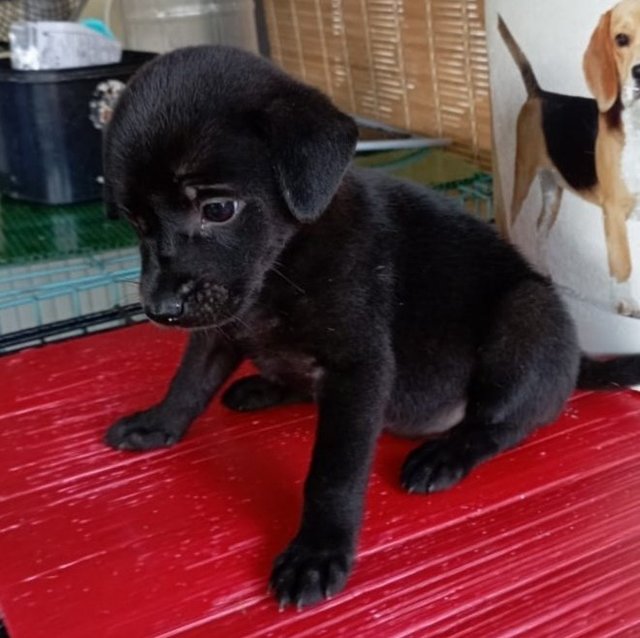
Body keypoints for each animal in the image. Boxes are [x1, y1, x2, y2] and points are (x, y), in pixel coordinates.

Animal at [102, 46, 640, 608]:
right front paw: (157, 422)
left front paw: (318, 550)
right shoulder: (220, 329)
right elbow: (188, 382)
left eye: (218, 208)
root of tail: (577, 361)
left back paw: (446, 454)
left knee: (502, 424)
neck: (284, 264)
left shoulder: (357, 368)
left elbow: (333, 472)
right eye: (136, 221)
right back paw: (265, 386)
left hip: (528, 318)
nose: (158, 309)